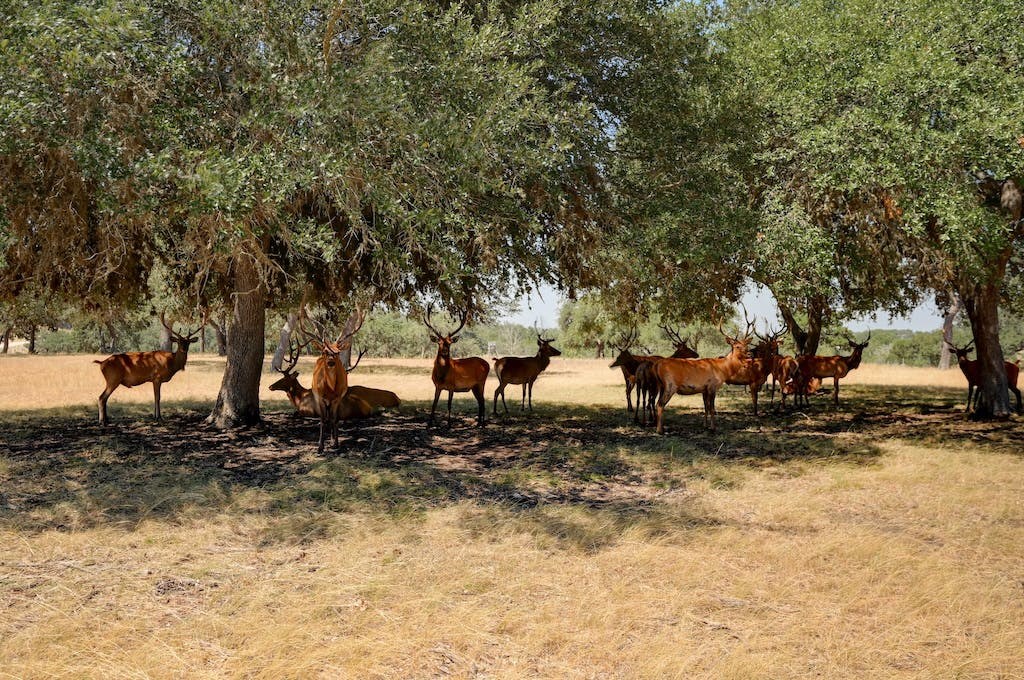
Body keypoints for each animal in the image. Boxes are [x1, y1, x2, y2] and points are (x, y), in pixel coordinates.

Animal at [295, 305, 366, 453]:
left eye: (338, 352)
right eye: (324, 351)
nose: (331, 362)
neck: (330, 389)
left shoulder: (338, 397)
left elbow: (335, 419)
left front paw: (336, 444)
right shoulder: (320, 397)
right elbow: (322, 420)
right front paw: (320, 447)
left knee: (333, 417)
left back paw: (333, 438)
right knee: (326, 417)